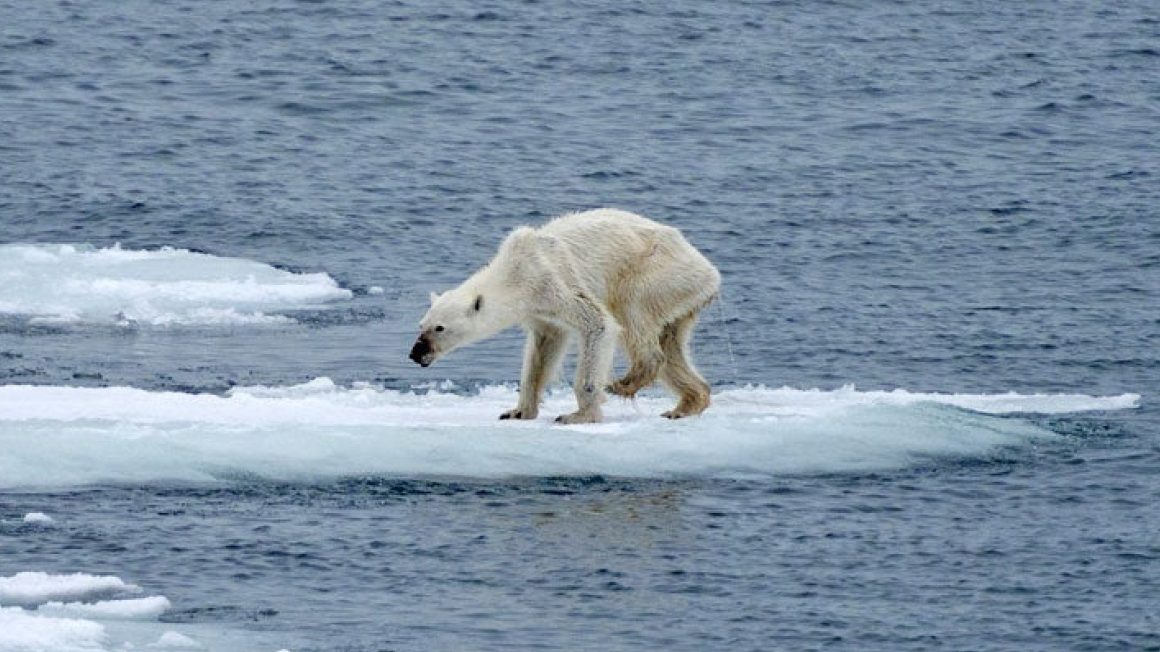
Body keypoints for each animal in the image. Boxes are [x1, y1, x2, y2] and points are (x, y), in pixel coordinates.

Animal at [406, 206, 714, 422]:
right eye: (421, 324)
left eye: (439, 328)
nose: (416, 353)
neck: (515, 271)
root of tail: (709, 270)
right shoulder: (538, 309)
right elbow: (544, 347)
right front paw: (517, 411)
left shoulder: (552, 281)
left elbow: (598, 323)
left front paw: (578, 415)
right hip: (681, 295)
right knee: (672, 344)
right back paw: (686, 404)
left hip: (657, 273)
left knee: (632, 313)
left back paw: (624, 383)